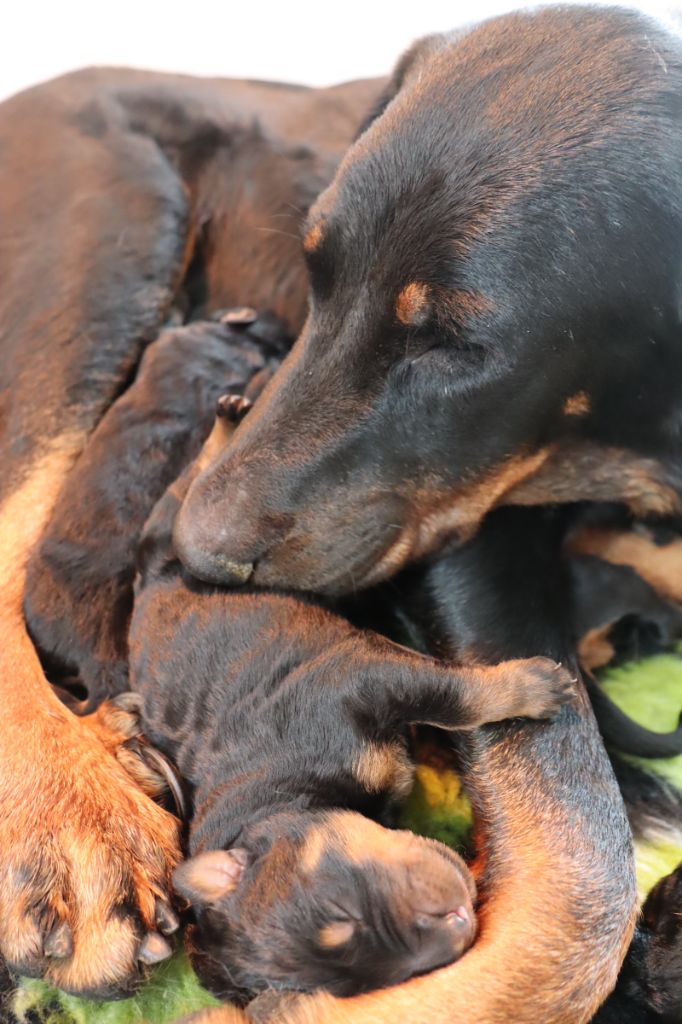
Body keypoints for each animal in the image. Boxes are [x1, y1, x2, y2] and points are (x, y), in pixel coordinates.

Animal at [125, 407, 569, 999]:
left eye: (342, 911)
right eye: (371, 981)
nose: (458, 921)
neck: (282, 799)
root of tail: (147, 583)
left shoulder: (362, 677)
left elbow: (455, 695)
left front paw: (535, 686)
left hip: (174, 549)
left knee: (178, 498)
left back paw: (223, 427)